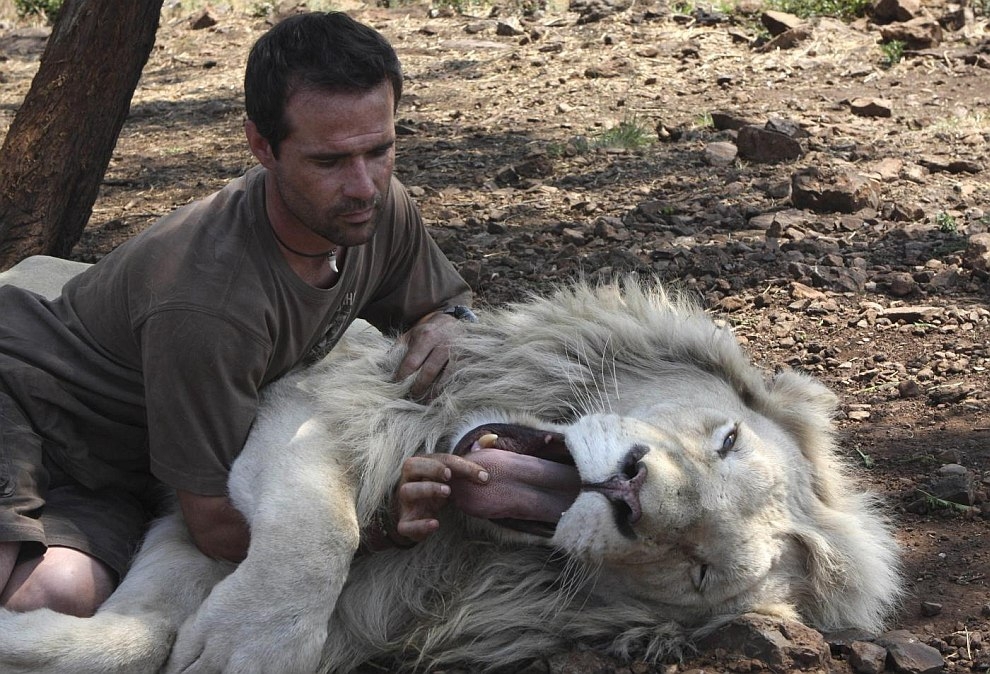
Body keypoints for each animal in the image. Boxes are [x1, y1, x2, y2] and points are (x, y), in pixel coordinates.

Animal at [0, 255, 904, 668]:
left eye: (700, 568)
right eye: (725, 441)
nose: (630, 493)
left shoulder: (193, 531)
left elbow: (138, 633)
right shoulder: (301, 399)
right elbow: (313, 538)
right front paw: (248, 645)